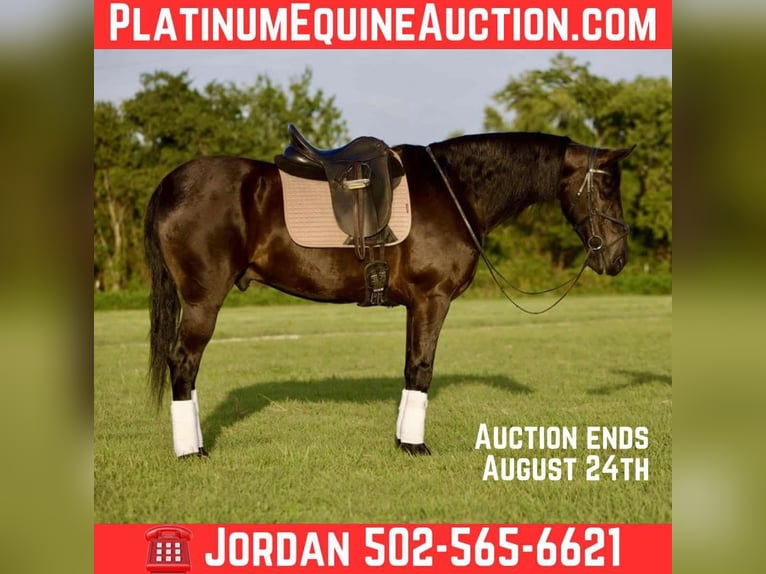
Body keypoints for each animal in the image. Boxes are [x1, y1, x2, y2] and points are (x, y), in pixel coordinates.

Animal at [144, 131, 633, 458]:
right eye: (608, 184)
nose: (619, 257)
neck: (453, 189)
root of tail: (171, 184)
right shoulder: (432, 299)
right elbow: (422, 369)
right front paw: (415, 446)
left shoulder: (415, 305)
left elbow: (410, 367)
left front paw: (403, 439)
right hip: (204, 301)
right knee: (183, 363)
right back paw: (191, 450)